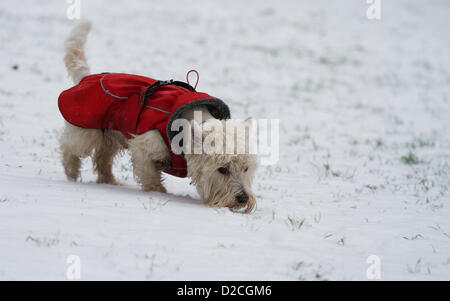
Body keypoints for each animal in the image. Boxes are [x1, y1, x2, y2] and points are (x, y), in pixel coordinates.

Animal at [58, 19, 258, 212]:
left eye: (246, 168)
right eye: (222, 169)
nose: (243, 199)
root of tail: (87, 76)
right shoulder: (144, 146)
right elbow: (150, 176)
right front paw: (158, 194)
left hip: (111, 136)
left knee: (102, 158)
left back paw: (109, 181)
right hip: (86, 130)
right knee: (70, 147)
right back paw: (72, 173)